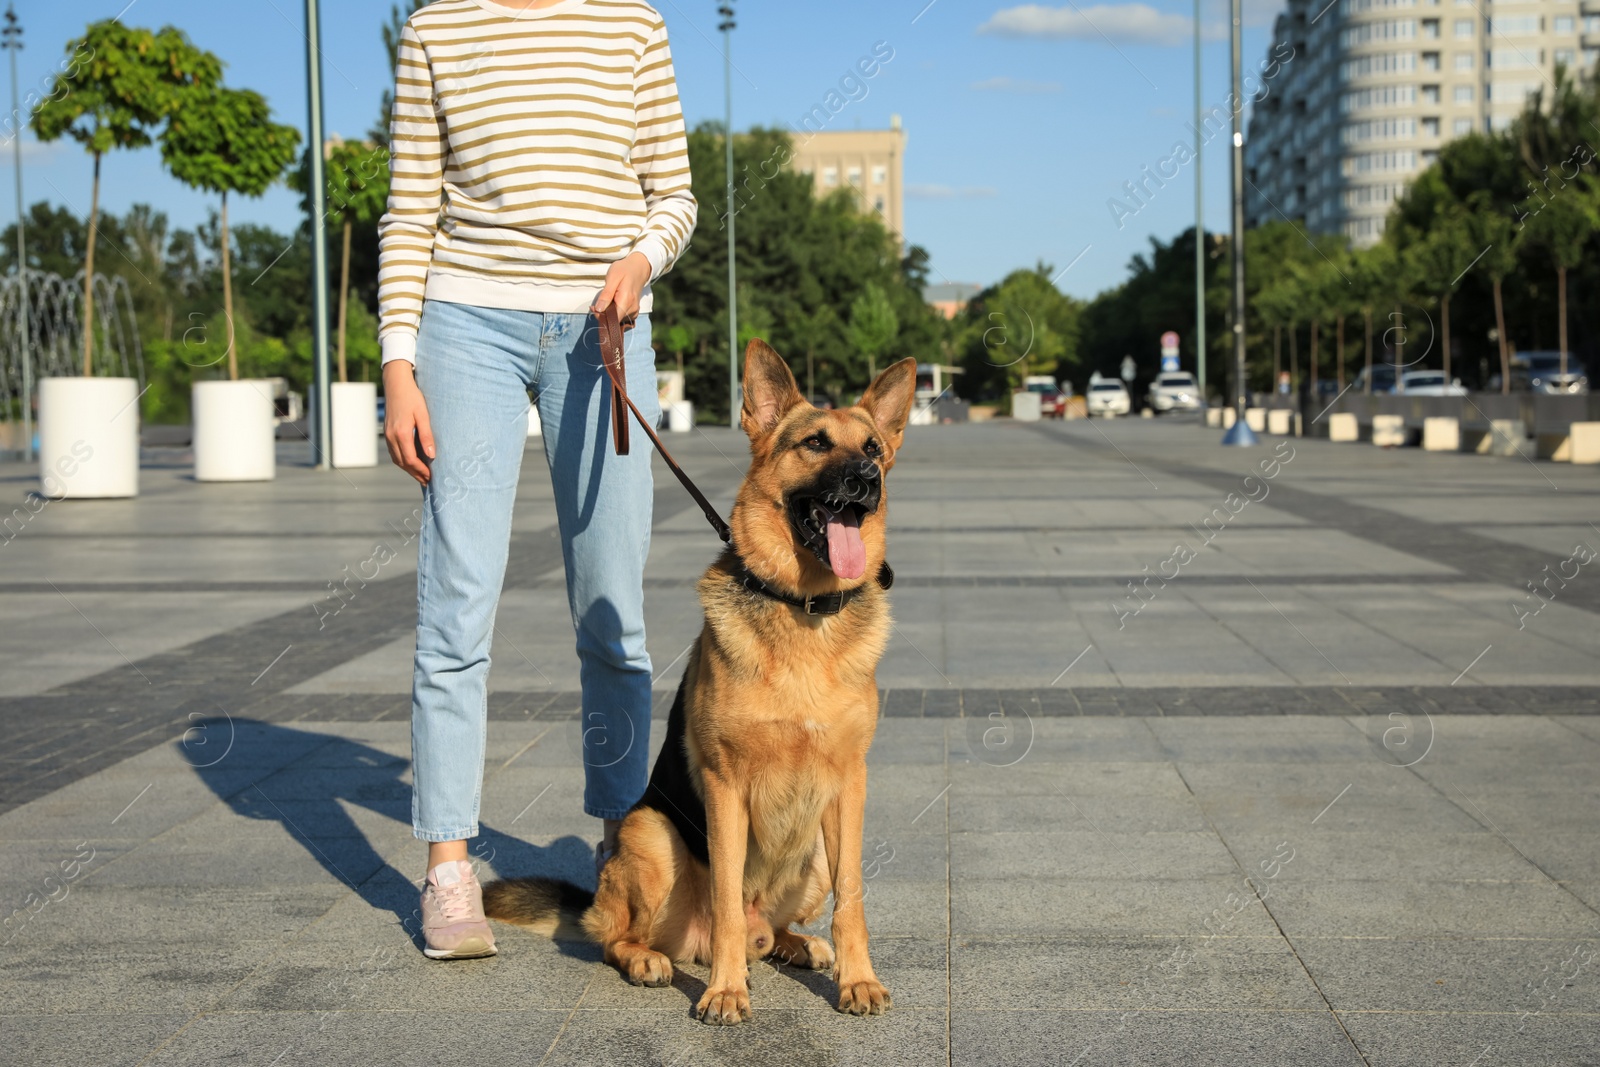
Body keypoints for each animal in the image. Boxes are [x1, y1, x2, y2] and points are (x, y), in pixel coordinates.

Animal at [480, 343, 915, 1023]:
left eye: (872, 447)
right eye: (816, 444)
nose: (867, 479)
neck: (802, 608)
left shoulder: (849, 787)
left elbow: (854, 899)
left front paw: (858, 979)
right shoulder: (724, 786)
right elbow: (728, 899)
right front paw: (727, 993)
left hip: (814, 852)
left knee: (769, 928)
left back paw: (797, 944)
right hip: (651, 837)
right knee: (621, 936)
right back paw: (652, 961)